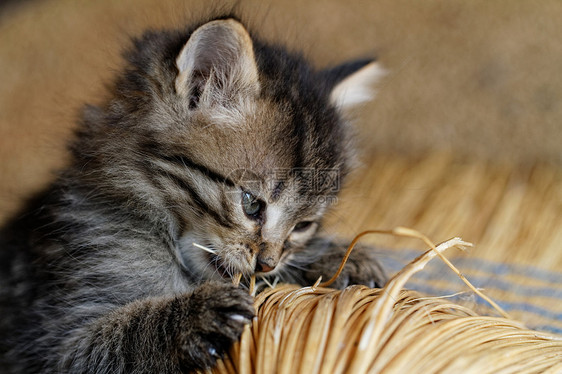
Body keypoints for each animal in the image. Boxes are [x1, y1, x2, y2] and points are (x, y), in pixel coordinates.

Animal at [0, 16, 384, 372]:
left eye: (303, 226)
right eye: (251, 204)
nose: (267, 263)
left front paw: (338, 258)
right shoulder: (54, 342)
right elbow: (128, 333)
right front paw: (197, 314)